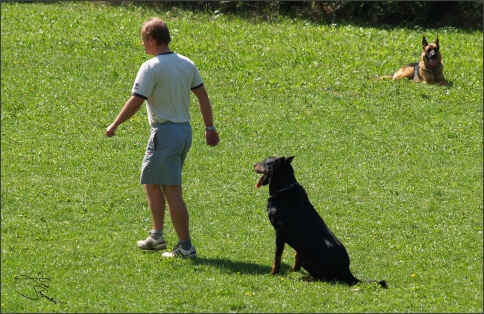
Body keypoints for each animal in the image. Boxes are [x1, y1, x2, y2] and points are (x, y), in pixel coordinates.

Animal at [253, 156, 386, 288]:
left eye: (265, 161)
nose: (254, 164)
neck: (284, 188)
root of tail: (347, 272)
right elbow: (294, 255)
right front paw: (295, 269)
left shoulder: (279, 232)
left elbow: (277, 257)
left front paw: (273, 273)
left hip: (305, 256)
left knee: (323, 278)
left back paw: (306, 278)